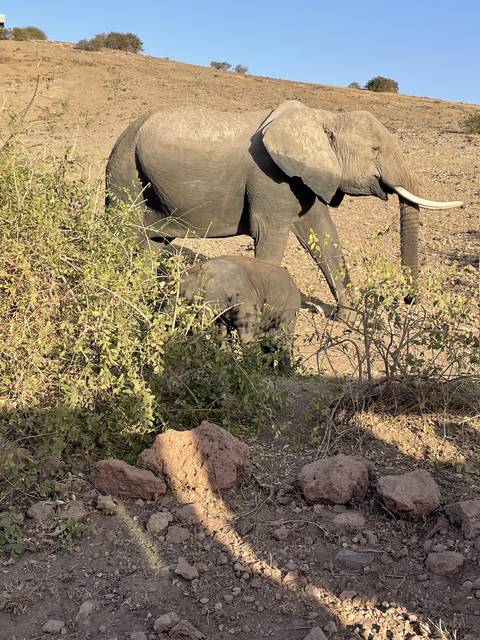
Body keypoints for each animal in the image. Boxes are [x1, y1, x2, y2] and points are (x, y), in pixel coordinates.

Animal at [106, 100, 463, 317]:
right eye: (375, 149)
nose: (409, 300)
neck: (322, 117)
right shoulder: (270, 178)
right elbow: (270, 238)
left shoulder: (307, 176)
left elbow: (324, 236)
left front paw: (348, 318)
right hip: (124, 169)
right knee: (124, 236)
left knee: (153, 244)